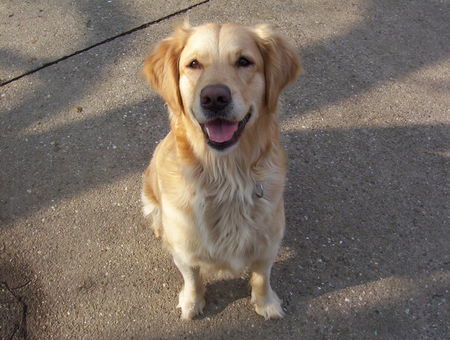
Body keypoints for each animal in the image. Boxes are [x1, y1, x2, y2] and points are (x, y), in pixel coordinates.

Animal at [142, 22, 300, 320]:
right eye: (193, 64)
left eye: (244, 61)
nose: (214, 97)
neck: (226, 177)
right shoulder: (184, 250)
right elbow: (192, 278)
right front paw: (192, 303)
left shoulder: (268, 241)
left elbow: (262, 276)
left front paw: (266, 303)